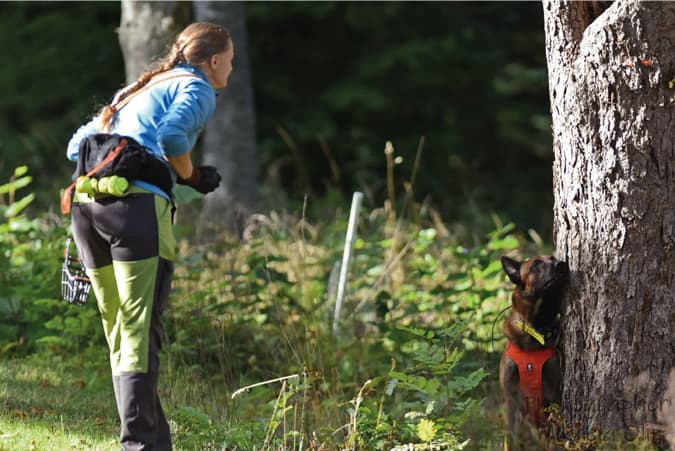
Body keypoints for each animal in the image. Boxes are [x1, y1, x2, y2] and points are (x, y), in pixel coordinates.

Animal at [500, 256, 568, 450]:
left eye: (553, 258)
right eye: (536, 264)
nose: (561, 264)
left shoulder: (554, 395)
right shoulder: (511, 403)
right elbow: (510, 440)